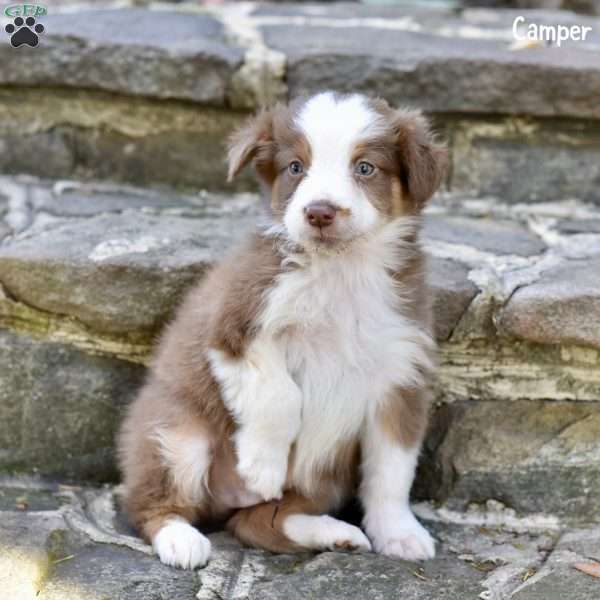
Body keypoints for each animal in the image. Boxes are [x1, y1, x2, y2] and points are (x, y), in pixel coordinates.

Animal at [118, 91, 446, 568]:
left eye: (365, 168)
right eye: (295, 167)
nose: (319, 212)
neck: (340, 270)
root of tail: (226, 503)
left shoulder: (399, 374)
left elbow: (392, 470)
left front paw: (400, 533)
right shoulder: (235, 325)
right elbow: (280, 395)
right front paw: (261, 466)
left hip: (324, 476)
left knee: (260, 523)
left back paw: (336, 533)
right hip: (176, 434)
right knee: (151, 502)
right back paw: (181, 538)